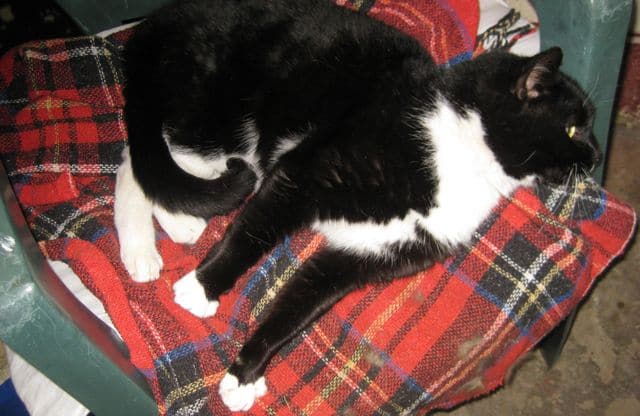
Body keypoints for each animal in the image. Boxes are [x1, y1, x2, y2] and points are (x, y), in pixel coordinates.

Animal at [114, 0, 601, 411]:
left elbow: (301, 302)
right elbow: (251, 233)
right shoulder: (306, 173)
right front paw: (203, 288)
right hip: (220, 120)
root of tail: (159, 20)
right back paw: (147, 250)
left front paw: (244, 373)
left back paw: (178, 228)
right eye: (573, 128)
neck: (460, 152)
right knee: (137, 163)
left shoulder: (366, 256)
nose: (596, 156)